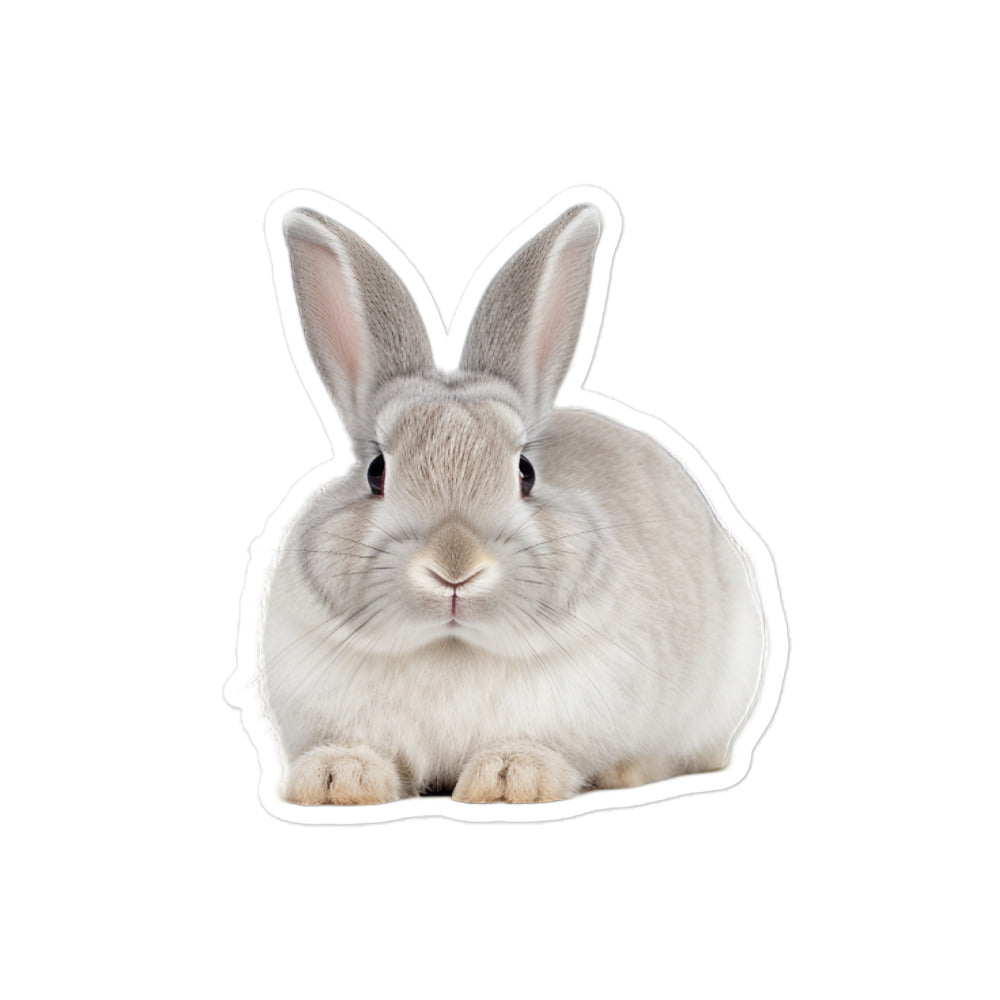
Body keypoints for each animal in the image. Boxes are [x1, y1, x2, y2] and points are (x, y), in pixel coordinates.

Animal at [261, 199, 764, 805]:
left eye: (526, 472)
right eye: (376, 471)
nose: (455, 568)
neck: (449, 647)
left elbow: (546, 750)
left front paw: (509, 778)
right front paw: (337, 778)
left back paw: (625, 772)